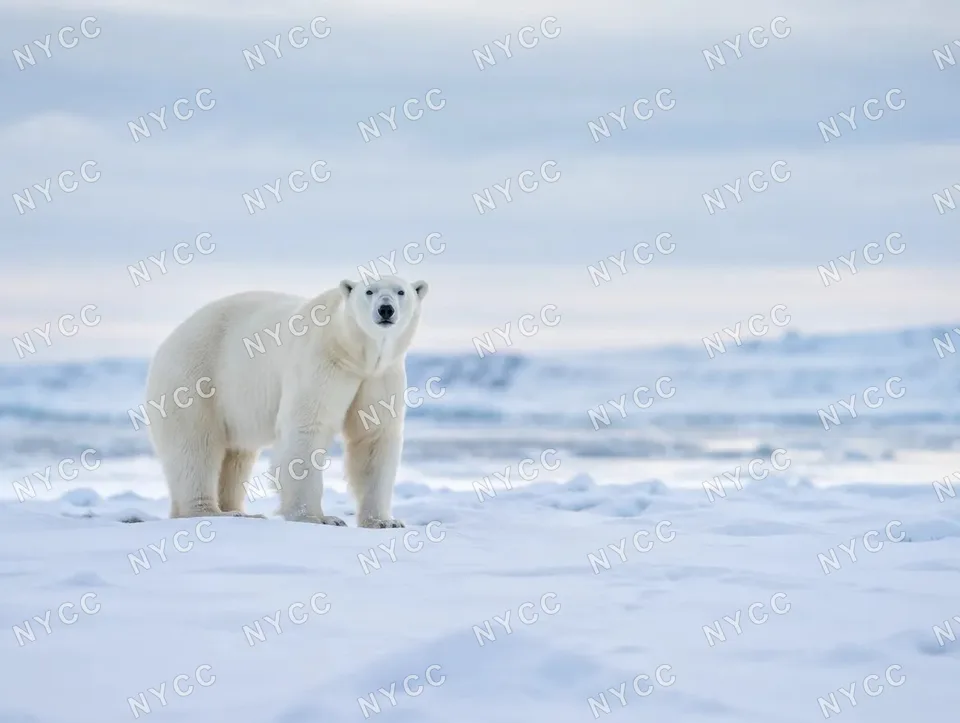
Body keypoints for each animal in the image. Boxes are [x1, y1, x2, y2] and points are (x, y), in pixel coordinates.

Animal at [143, 275, 428, 528]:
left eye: (401, 291)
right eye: (369, 291)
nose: (385, 309)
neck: (354, 353)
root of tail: (167, 343)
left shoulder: (380, 375)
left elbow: (374, 436)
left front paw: (384, 522)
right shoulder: (321, 362)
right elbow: (307, 427)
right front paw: (318, 517)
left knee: (236, 455)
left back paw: (239, 510)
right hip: (195, 379)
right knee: (195, 447)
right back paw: (211, 511)